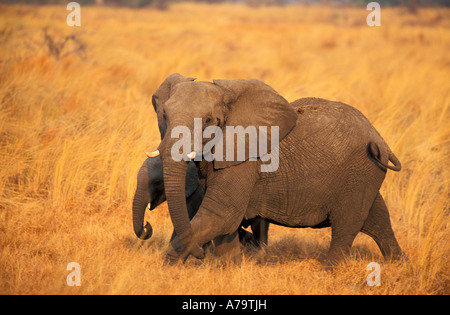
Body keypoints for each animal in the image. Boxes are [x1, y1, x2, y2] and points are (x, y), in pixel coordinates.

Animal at [149, 75, 406, 266]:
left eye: (210, 120)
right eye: (165, 116)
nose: (200, 254)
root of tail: (381, 141)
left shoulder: (245, 161)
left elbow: (221, 215)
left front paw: (168, 270)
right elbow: (224, 222)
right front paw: (231, 268)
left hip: (359, 171)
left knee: (346, 224)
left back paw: (329, 270)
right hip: (365, 173)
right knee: (378, 219)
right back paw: (399, 263)